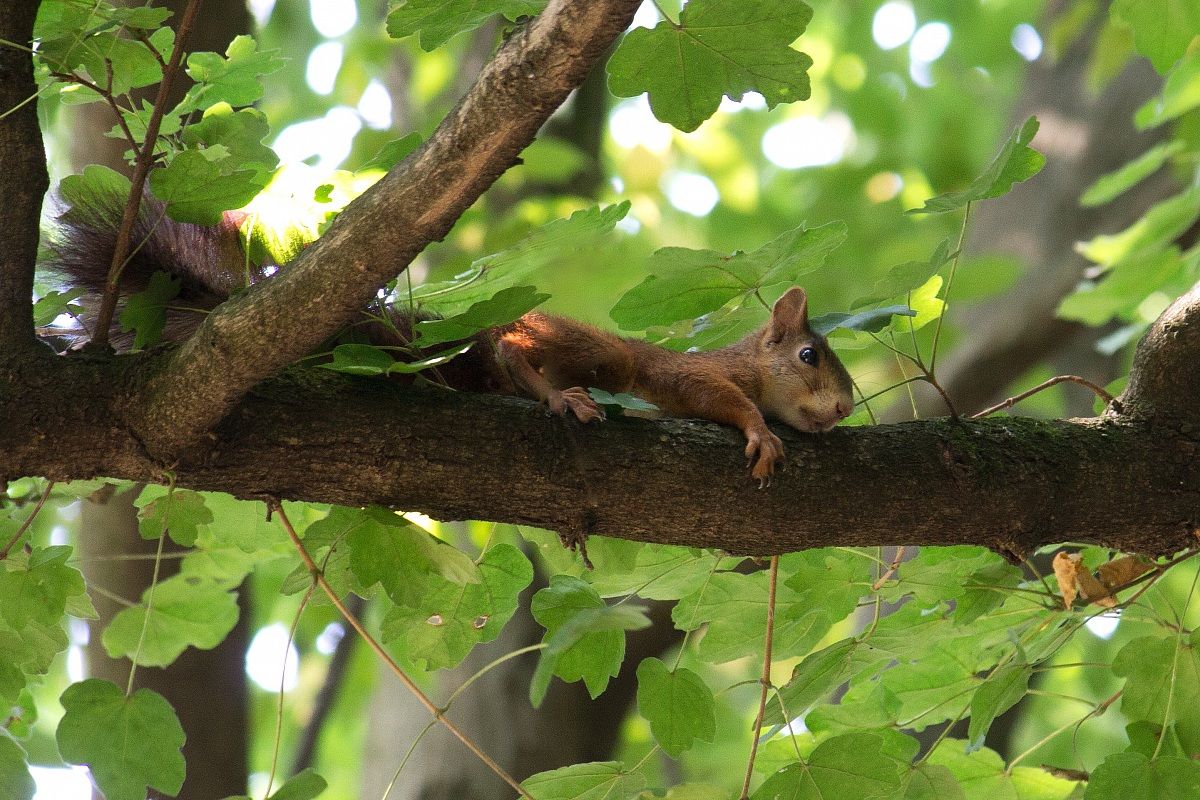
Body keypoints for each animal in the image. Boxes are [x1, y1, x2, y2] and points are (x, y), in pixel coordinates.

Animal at [43, 187, 855, 483]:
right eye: (810, 355)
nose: (846, 408)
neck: (749, 362)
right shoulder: (696, 377)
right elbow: (718, 400)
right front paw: (762, 432)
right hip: (583, 345)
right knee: (521, 352)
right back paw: (556, 395)